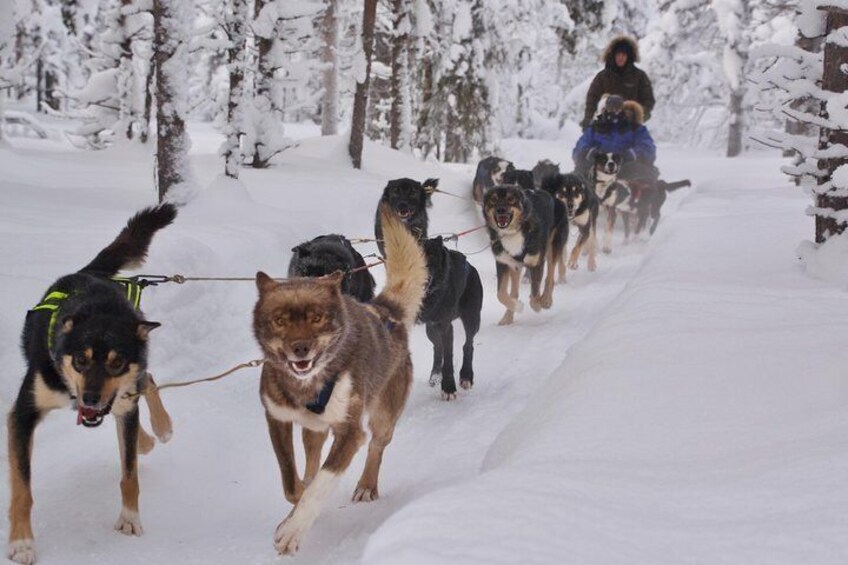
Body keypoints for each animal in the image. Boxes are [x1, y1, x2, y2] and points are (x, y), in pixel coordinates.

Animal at [7, 204, 177, 564]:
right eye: (80, 361)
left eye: (116, 362)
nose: (91, 398)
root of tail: (93, 272)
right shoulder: (23, 414)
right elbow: (22, 489)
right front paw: (22, 541)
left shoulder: (123, 395)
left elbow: (129, 475)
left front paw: (130, 518)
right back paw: (146, 438)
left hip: (129, 387)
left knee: (147, 381)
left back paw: (161, 427)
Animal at [250, 205, 424, 552]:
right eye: (279, 321)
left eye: (317, 317)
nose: (300, 349)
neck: (307, 386)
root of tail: (386, 312)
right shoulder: (277, 419)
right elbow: (292, 480)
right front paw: (294, 508)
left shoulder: (350, 432)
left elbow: (322, 483)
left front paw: (294, 529)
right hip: (313, 429)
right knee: (312, 457)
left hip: (383, 415)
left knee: (376, 445)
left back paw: (367, 485)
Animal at [420, 236, 484, 398]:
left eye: (432, 255)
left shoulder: (446, 327)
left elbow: (448, 358)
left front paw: (448, 388)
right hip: (430, 328)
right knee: (437, 348)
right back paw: (435, 375)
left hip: (472, 319)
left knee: (468, 345)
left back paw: (466, 376)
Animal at [484, 185, 556, 326]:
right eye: (493, 199)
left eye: (510, 199)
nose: (501, 210)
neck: (512, 233)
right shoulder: (503, 262)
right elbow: (501, 294)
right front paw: (518, 306)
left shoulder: (535, 262)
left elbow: (534, 294)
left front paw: (537, 304)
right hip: (515, 266)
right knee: (514, 293)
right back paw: (508, 317)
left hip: (553, 247)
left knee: (550, 276)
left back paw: (546, 300)